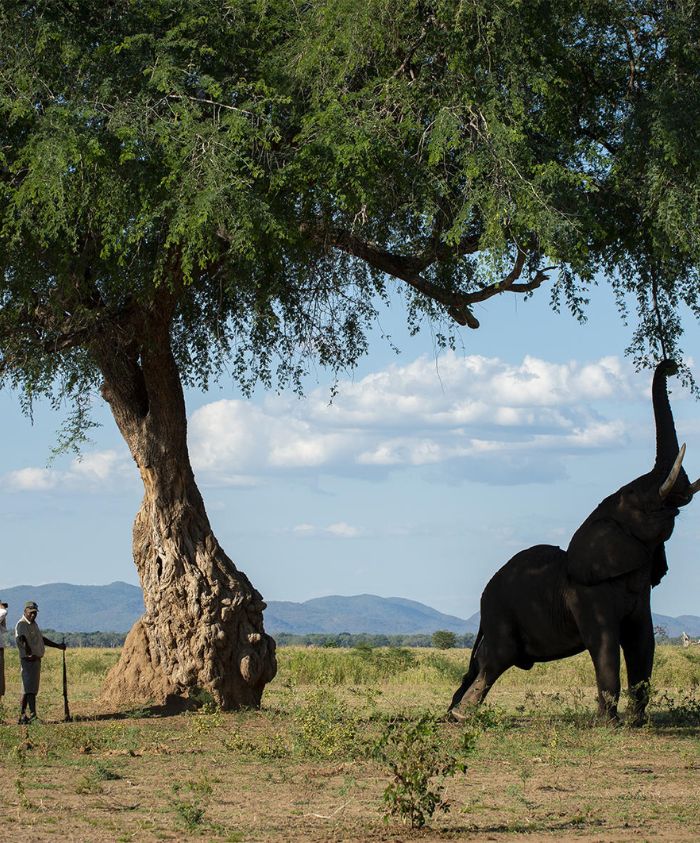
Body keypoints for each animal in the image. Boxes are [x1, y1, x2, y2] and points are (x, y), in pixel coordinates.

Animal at [449, 359, 699, 725]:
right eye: (636, 496)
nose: (671, 365)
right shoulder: (587, 594)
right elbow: (605, 645)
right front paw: (609, 725)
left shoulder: (641, 594)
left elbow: (643, 643)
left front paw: (637, 722)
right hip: (501, 615)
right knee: (494, 660)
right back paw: (461, 716)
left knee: (482, 662)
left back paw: (453, 711)